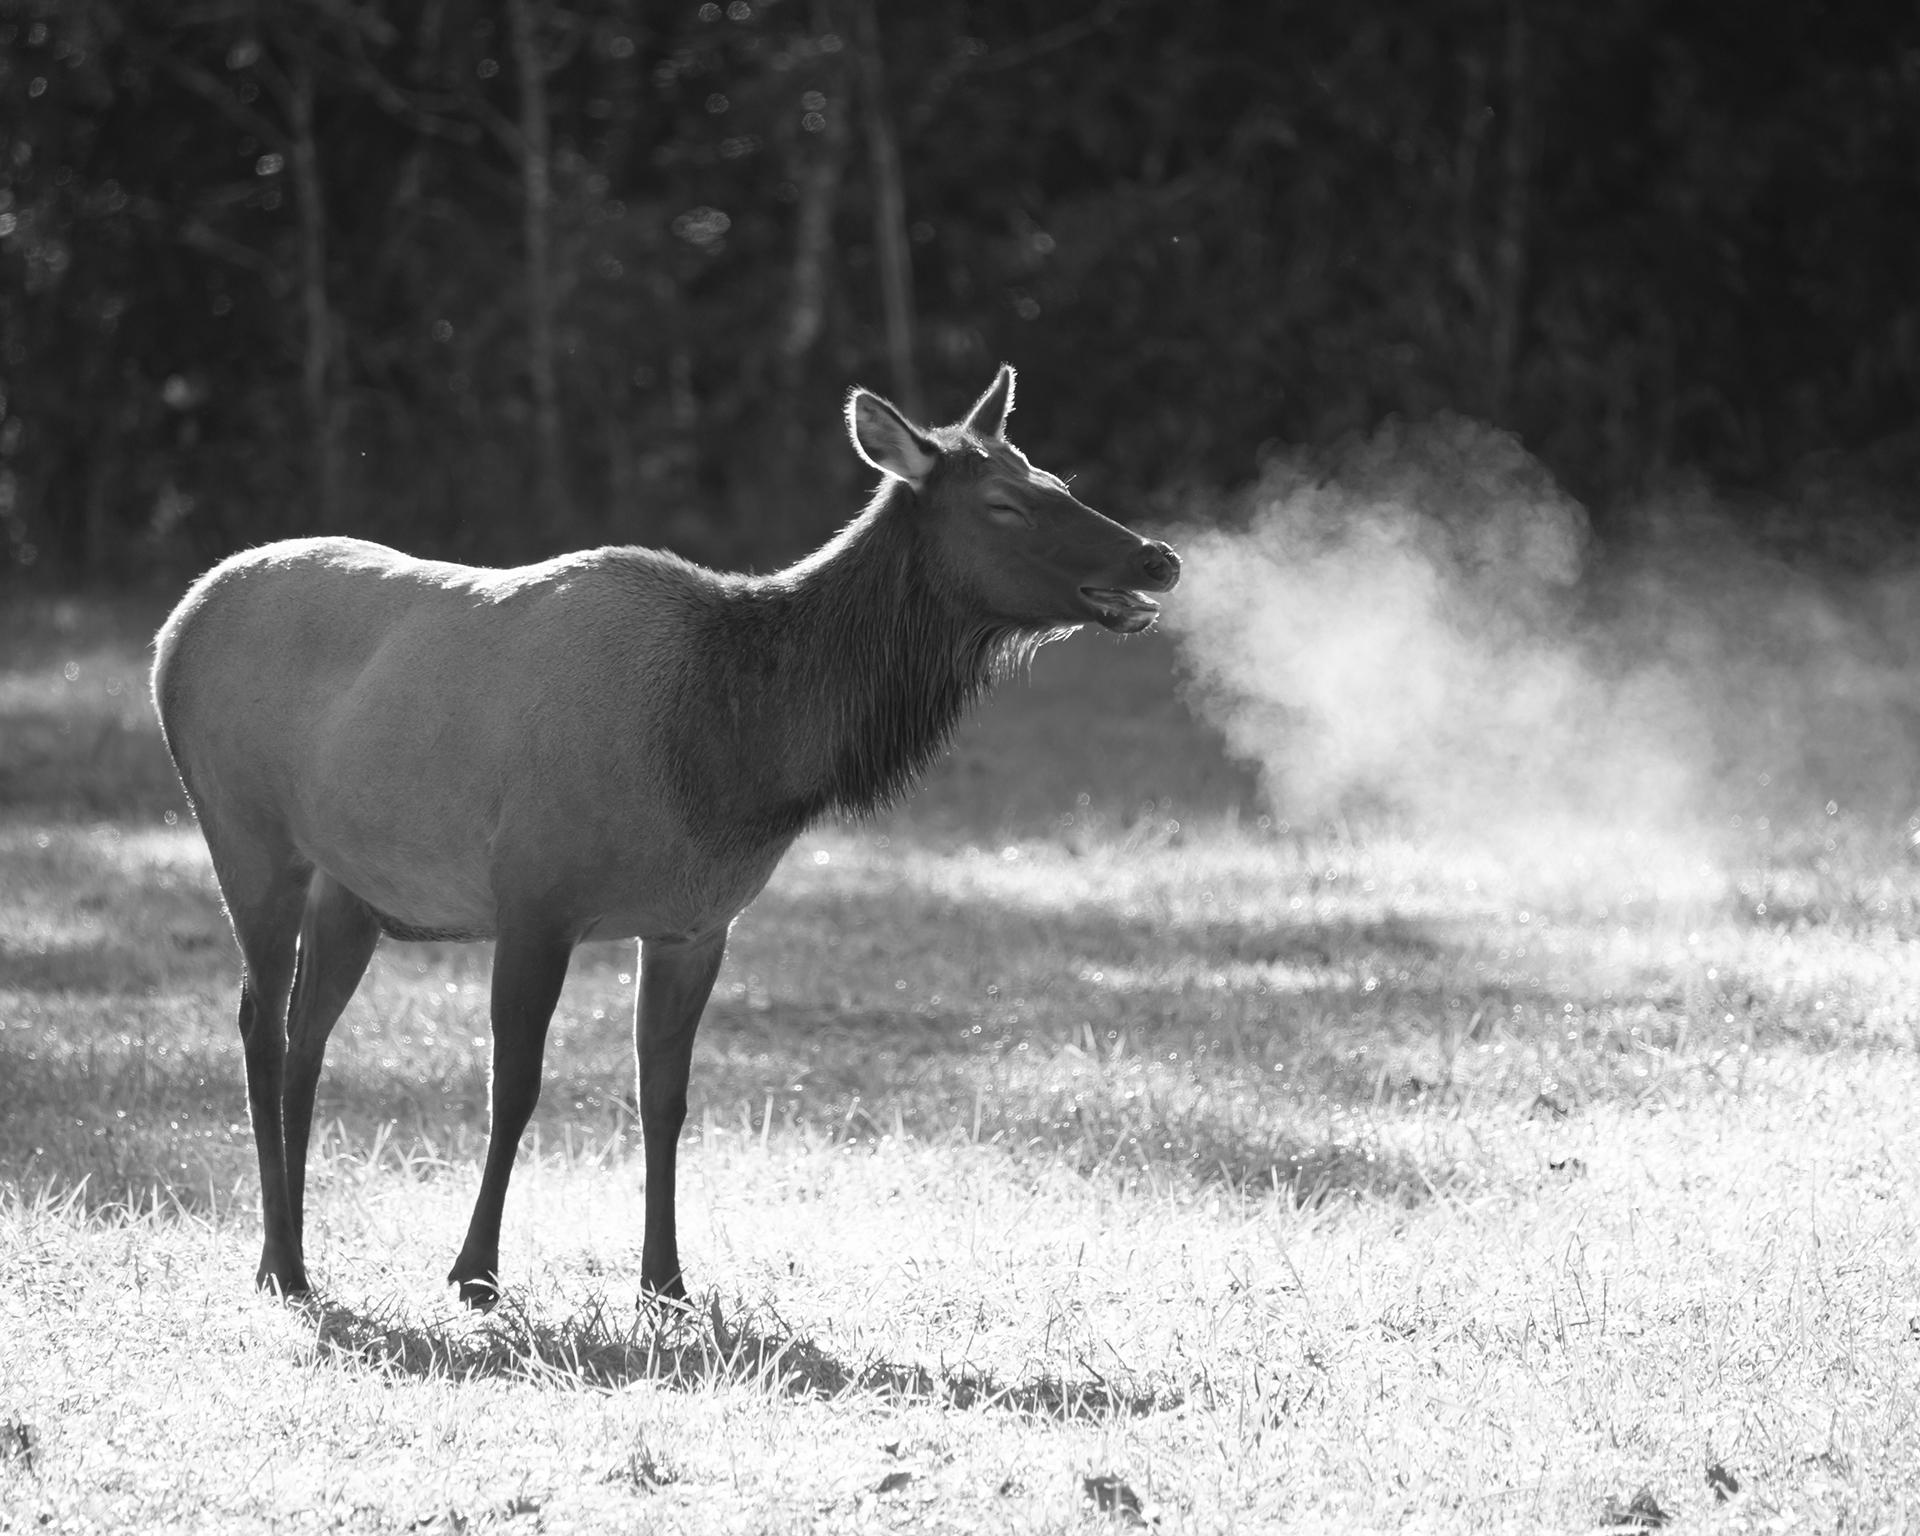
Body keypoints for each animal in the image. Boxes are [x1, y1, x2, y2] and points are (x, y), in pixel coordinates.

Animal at [151, 365, 1181, 1306]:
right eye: (1006, 502)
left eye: (1056, 477)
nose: (1157, 559)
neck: (729, 762)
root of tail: (175, 622)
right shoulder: (535, 893)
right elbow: (514, 1086)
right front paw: (475, 1272)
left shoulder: (697, 921)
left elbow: (666, 1098)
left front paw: (666, 1280)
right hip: (242, 830)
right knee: (260, 1026)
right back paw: (283, 1266)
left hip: (350, 886)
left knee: (306, 1035)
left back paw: (287, 1250)